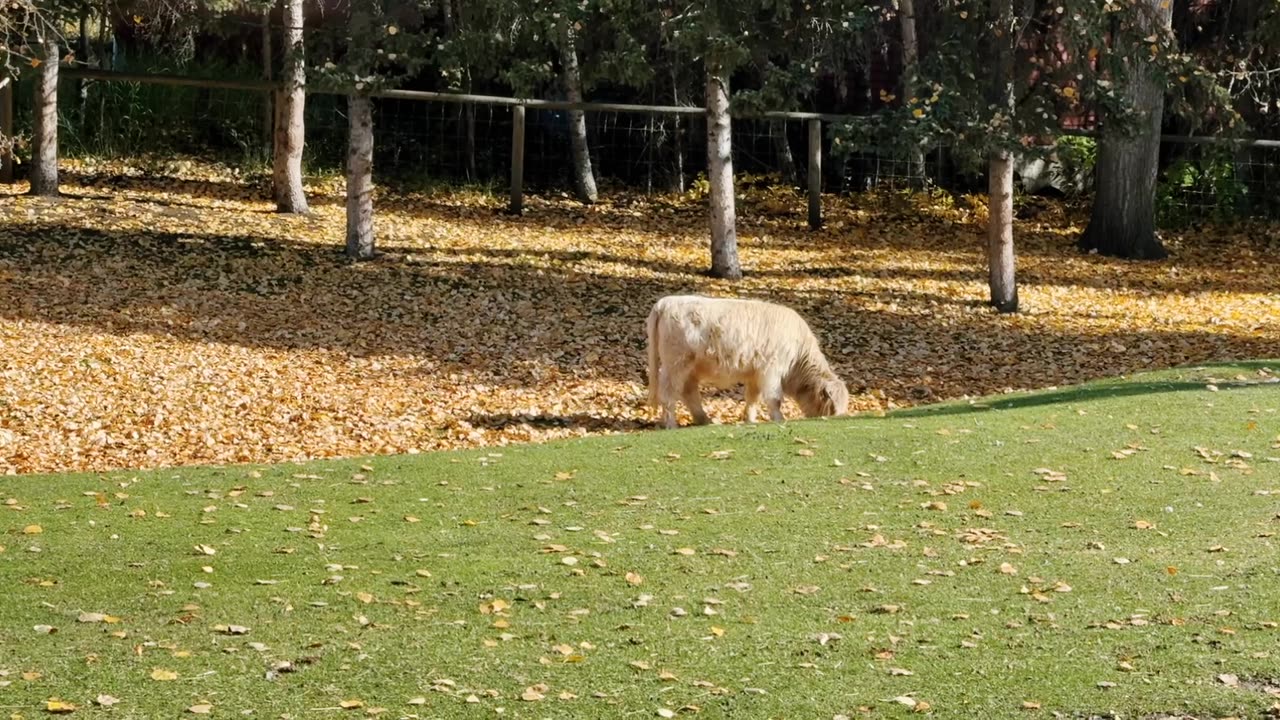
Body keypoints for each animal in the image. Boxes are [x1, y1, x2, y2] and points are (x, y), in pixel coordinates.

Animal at [645, 292, 844, 425]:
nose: (839, 418)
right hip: (676, 363)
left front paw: (750, 420)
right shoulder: (771, 368)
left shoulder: (755, 373)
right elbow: (774, 398)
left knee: (688, 391)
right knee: (669, 392)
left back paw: (705, 420)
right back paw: (671, 424)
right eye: (833, 407)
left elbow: (752, 398)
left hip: (690, 367)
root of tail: (666, 301)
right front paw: (779, 419)